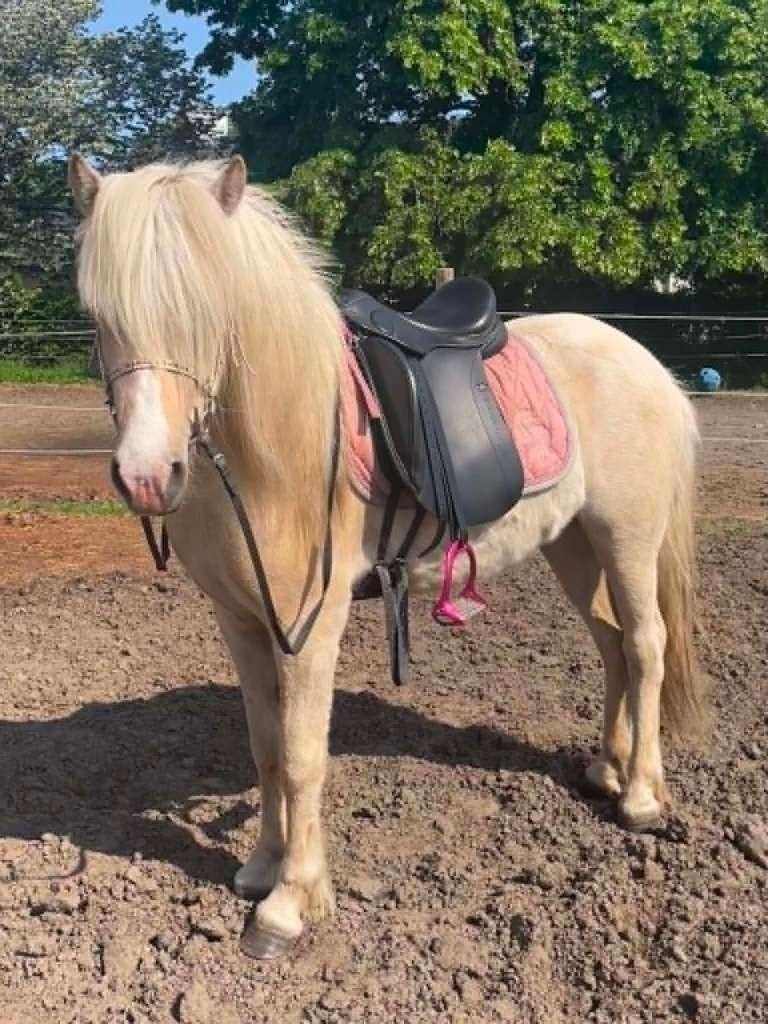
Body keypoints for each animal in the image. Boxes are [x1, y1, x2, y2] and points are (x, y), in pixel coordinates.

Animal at [68, 153, 705, 959]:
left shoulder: (313, 621)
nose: (148, 476)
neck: (274, 446)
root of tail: (645, 361)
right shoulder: (239, 618)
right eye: (99, 317)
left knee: (647, 645)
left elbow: (303, 754)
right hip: (573, 544)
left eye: (205, 313)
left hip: (629, 536)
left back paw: (643, 797)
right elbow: (265, 743)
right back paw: (606, 770)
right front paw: (261, 867)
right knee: (613, 644)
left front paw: (289, 905)